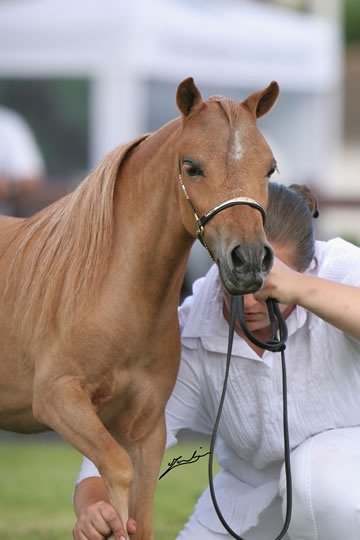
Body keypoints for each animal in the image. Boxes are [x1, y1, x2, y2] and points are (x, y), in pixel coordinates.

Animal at [0, 78, 278, 536]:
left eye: (269, 169)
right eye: (191, 166)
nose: (250, 260)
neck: (114, 292)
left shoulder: (146, 429)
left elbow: (141, 511)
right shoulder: (59, 398)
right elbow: (116, 473)